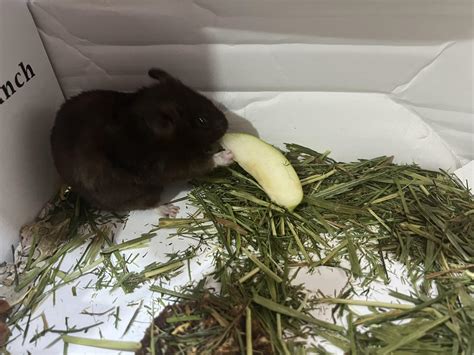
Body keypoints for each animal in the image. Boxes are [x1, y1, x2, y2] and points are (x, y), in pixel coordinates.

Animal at [51, 70, 233, 214]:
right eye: (202, 121)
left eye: (206, 99)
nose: (227, 124)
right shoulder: (169, 165)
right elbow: (202, 163)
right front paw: (228, 155)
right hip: (134, 192)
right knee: (146, 204)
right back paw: (171, 210)